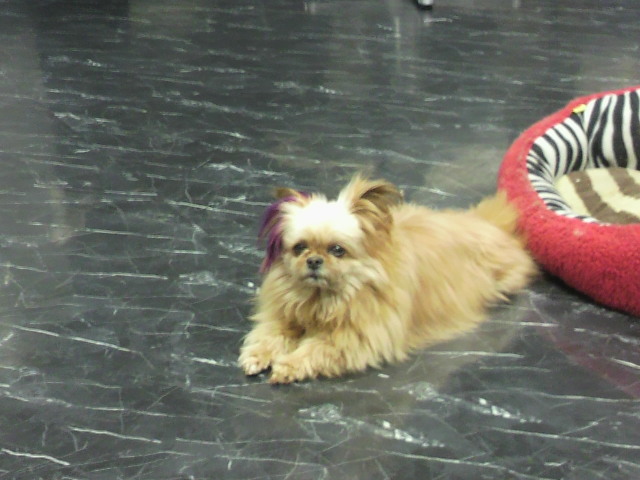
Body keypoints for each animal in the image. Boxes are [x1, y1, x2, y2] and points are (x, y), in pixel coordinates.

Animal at [239, 175, 536, 384]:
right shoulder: (283, 316)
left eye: (337, 250)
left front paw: (287, 366)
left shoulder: (353, 339)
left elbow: (313, 350)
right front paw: (257, 355)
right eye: (300, 247)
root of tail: (486, 222)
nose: (313, 261)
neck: (324, 299)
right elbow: (270, 334)